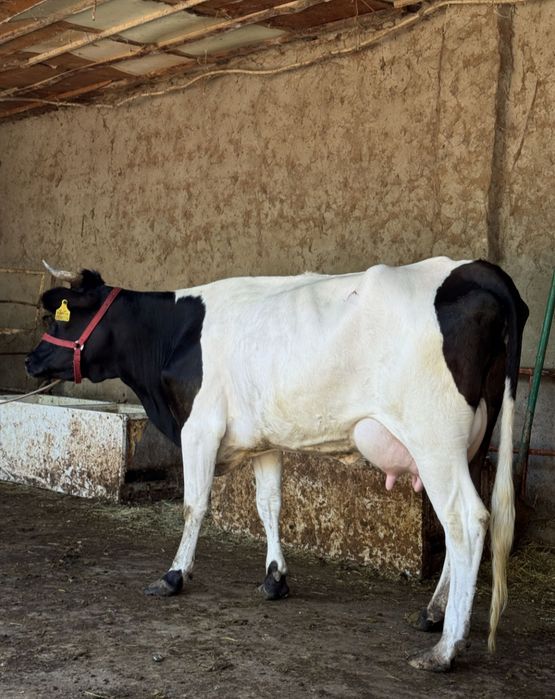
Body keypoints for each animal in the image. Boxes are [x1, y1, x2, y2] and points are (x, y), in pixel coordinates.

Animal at [26, 256, 528, 672]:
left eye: (58, 318)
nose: (31, 361)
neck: (172, 337)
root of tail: (474, 269)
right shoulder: (263, 439)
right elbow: (269, 504)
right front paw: (274, 578)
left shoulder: (199, 427)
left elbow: (194, 505)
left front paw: (174, 575)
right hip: (470, 444)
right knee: (456, 524)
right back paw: (432, 614)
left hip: (434, 438)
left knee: (467, 520)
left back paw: (446, 649)